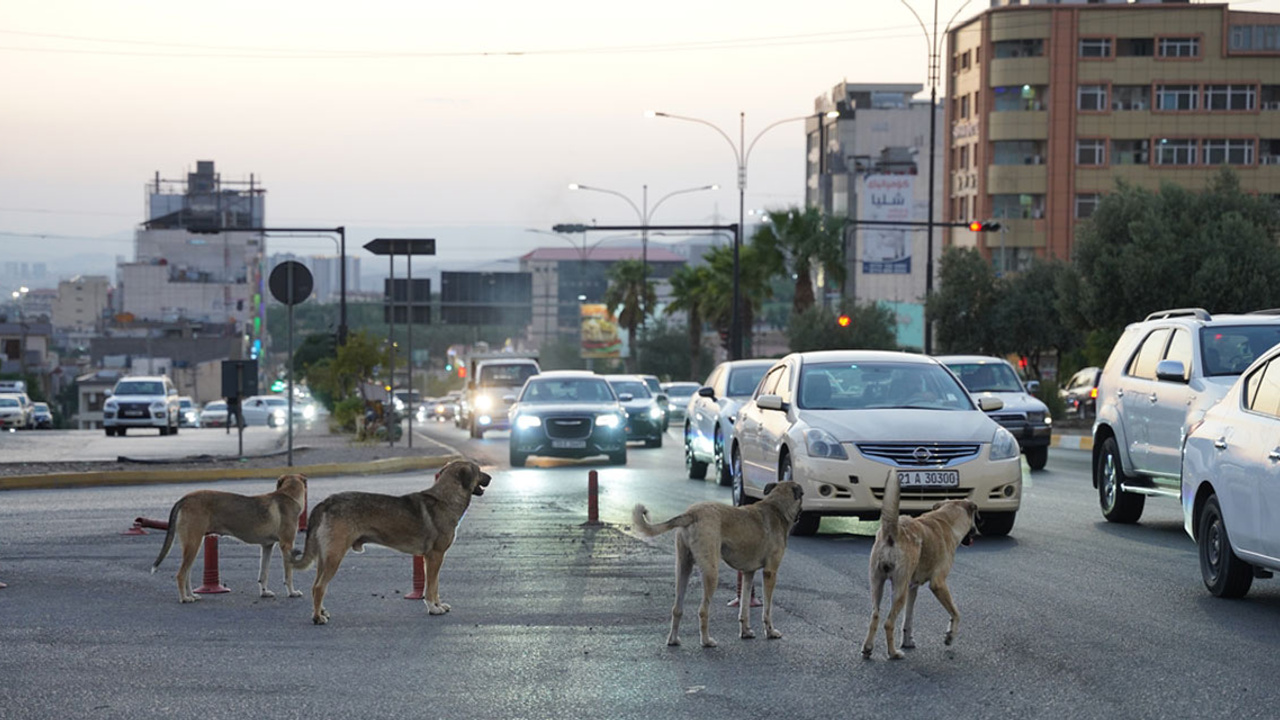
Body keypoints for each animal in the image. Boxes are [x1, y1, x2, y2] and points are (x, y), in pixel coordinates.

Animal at [149, 471, 307, 599]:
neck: (289, 494)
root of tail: (184, 499)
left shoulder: (267, 546)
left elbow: (264, 573)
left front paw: (264, 592)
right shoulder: (286, 545)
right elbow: (288, 575)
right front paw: (292, 593)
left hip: (192, 545)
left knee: (186, 573)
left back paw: (192, 595)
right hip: (194, 543)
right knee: (181, 574)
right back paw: (185, 599)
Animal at [290, 458, 488, 622]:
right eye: (478, 470)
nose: (490, 478)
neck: (446, 499)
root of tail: (325, 503)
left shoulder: (432, 558)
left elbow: (436, 585)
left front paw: (439, 605)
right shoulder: (435, 556)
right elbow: (431, 587)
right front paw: (433, 608)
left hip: (325, 557)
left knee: (316, 586)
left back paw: (321, 611)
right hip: (335, 556)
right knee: (319, 587)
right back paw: (317, 618)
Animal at [629, 479, 798, 648]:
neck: (776, 506)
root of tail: (692, 513)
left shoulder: (747, 574)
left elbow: (744, 607)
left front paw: (745, 631)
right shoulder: (770, 573)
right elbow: (767, 610)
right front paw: (770, 632)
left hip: (683, 568)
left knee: (677, 608)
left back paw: (673, 639)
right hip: (711, 573)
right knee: (703, 610)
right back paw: (706, 641)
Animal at [860, 468, 977, 661]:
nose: (975, 533)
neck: (947, 519)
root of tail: (892, 532)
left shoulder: (912, 588)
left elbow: (908, 619)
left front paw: (908, 641)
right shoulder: (938, 584)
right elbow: (956, 612)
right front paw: (950, 636)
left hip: (877, 584)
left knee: (875, 615)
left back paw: (868, 648)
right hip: (898, 590)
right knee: (888, 623)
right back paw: (893, 653)